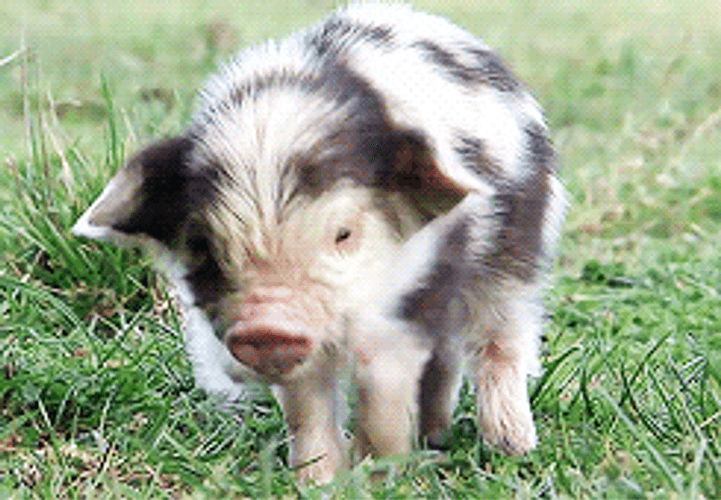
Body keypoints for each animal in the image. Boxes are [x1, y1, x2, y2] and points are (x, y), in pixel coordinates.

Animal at [72, 2, 567, 484]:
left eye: (343, 234)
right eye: (203, 246)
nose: (266, 326)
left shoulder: (407, 300)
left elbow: (384, 393)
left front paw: (378, 476)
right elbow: (306, 410)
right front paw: (318, 482)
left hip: (513, 255)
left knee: (500, 341)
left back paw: (510, 446)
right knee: (445, 356)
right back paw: (435, 438)